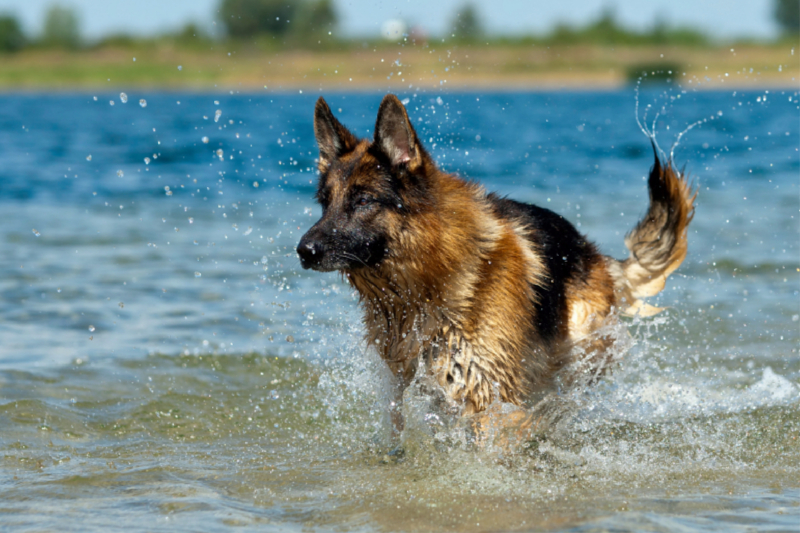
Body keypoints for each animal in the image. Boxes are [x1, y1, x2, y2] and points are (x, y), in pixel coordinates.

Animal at [296, 94, 696, 420]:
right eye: (324, 202)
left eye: (363, 200)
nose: (304, 251)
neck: (429, 282)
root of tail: (592, 251)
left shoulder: (486, 389)